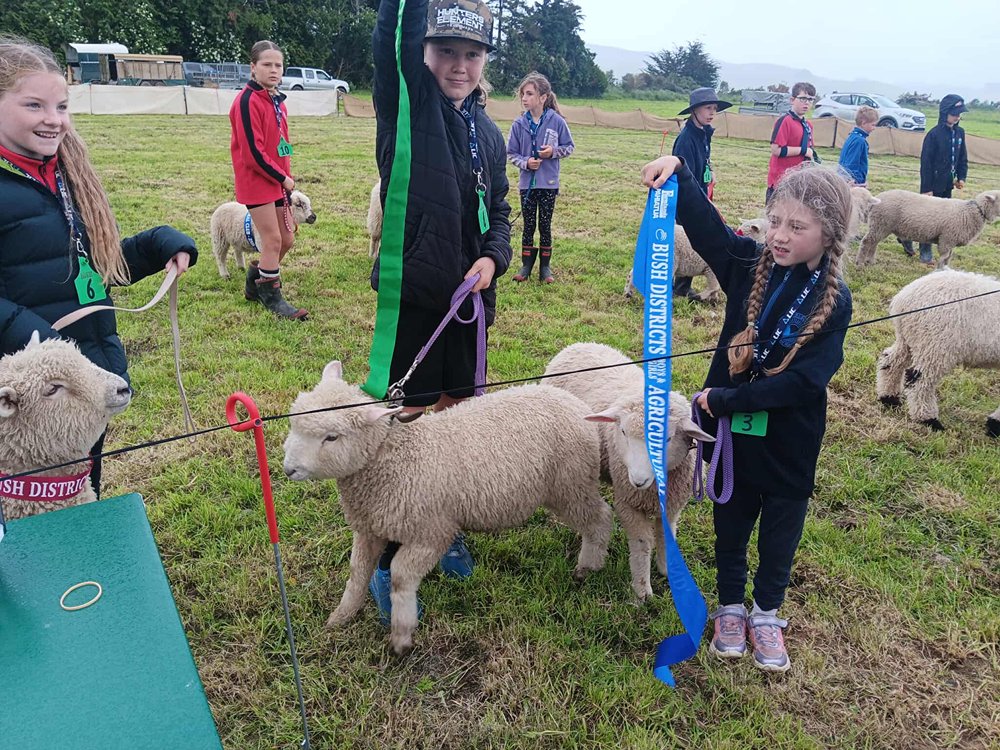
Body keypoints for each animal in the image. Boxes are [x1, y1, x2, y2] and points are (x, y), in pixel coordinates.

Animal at [282, 362, 613, 654]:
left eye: (331, 437)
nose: (288, 470)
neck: (394, 457)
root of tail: (575, 404)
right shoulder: (370, 526)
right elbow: (358, 572)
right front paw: (341, 616)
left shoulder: (431, 532)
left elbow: (401, 577)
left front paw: (402, 635)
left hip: (571, 484)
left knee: (601, 517)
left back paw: (588, 566)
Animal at [543, 343, 714, 603]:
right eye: (622, 431)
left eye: (667, 438)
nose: (638, 480)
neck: (653, 489)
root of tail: (579, 345)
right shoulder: (628, 504)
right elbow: (642, 544)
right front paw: (642, 590)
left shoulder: (672, 506)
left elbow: (666, 536)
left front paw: (667, 570)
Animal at [857, 189, 1000, 268]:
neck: (975, 211)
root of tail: (876, 199)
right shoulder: (947, 239)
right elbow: (944, 257)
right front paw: (939, 270)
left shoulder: (951, 240)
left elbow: (949, 258)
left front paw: (946, 270)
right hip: (881, 223)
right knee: (867, 242)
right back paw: (860, 263)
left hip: (881, 226)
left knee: (873, 243)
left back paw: (871, 261)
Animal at [876, 269, 1000, 436]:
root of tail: (903, 299)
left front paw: (994, 424)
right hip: (935, 346)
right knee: (919, 382)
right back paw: (928, 420)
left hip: (909, 340)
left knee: (891, 363)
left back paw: (889, 399)